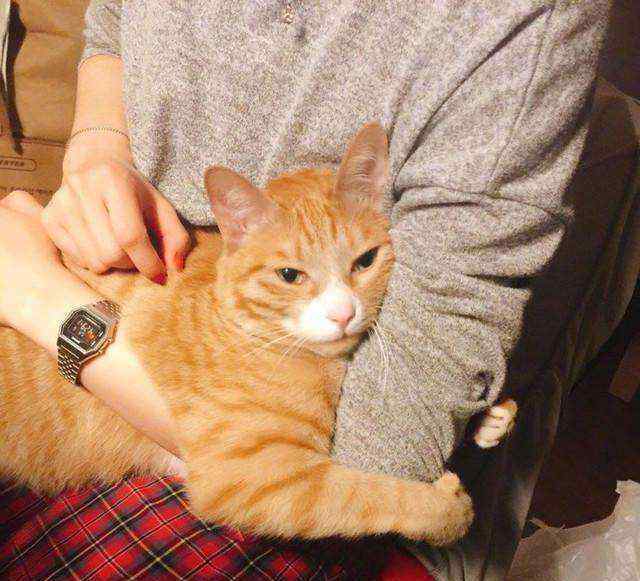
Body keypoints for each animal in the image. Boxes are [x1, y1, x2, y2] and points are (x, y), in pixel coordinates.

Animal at [0, 122, 474, 546]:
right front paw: (445, 509)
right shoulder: (260, 477)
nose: (343, 313)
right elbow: (369, 493)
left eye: (366, 261)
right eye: (290, 275)